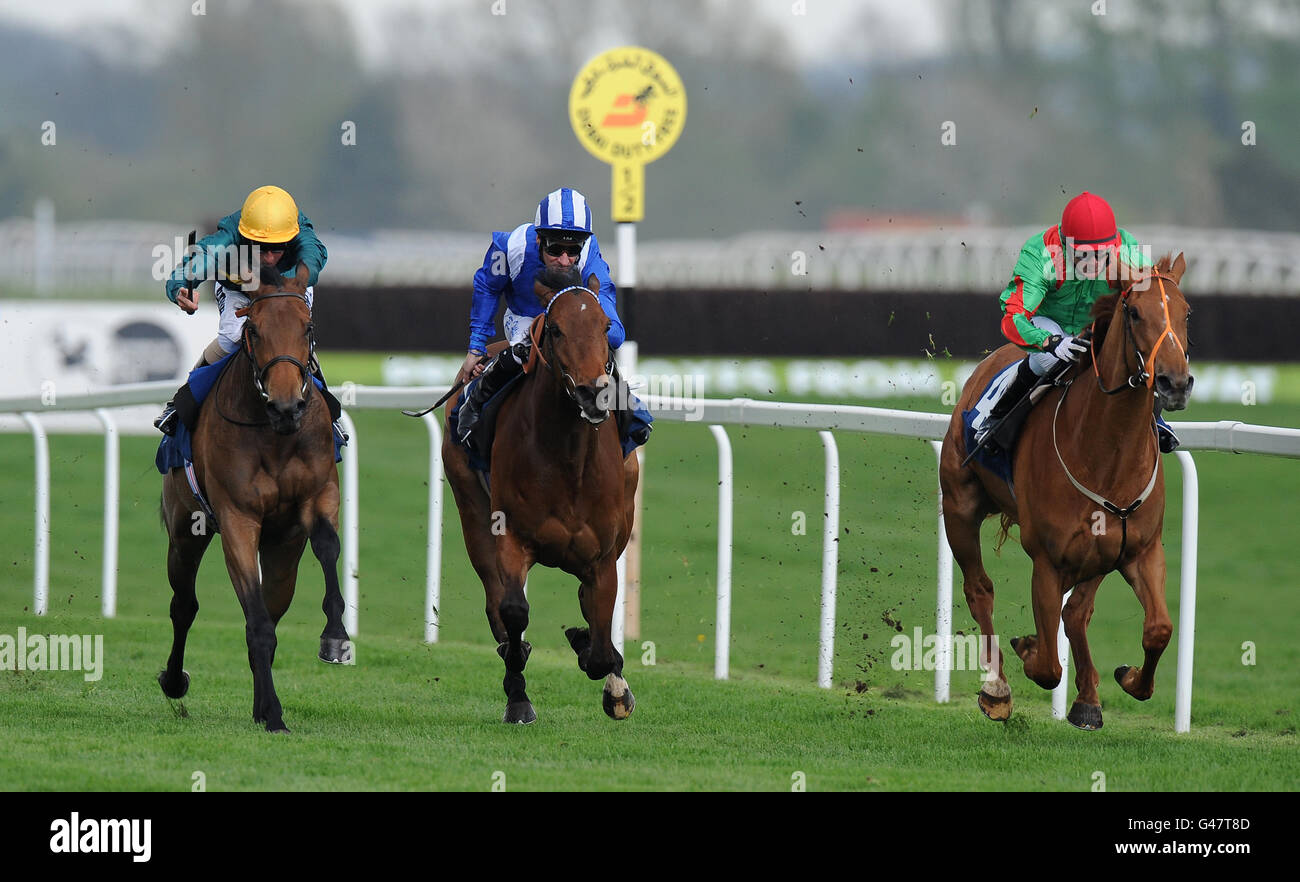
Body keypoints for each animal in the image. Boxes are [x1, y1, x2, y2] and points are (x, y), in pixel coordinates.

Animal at [157, 262, 348, 733]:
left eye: (308, 327)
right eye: (255, 330)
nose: (287, 407)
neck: (274, 435)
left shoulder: (319, 495)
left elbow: (327, 546)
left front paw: (335, 638)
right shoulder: (238, 518)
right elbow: (253, 620)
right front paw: (275, 713)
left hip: (282, 549)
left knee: (271, 608)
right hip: (185, 531)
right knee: (185, 605)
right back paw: (175, 680)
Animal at [444, 275, 642, 723]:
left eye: (606, 326)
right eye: (554, 329)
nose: (591, 393)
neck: (567, 458)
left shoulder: (603, 556)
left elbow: (600, 639)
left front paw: (607, 675)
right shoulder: (512, 537)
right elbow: (514, 611)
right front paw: (518, 693)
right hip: (471, 510)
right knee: (495, 602)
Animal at [941, 253, 1190, 733]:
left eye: (1187, 312)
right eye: (1135, 313)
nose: (1174, 382)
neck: (1108, 451)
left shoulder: (1138, 549)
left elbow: (1158, 629)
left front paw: (1127, 679)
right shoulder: (1048, 560)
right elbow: (1047, 666)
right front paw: (1027, 649)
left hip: (1100, 552)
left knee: (1076, 615)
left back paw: (1088, 698)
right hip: (958, 506)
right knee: (979, 589)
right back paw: (997, 689)